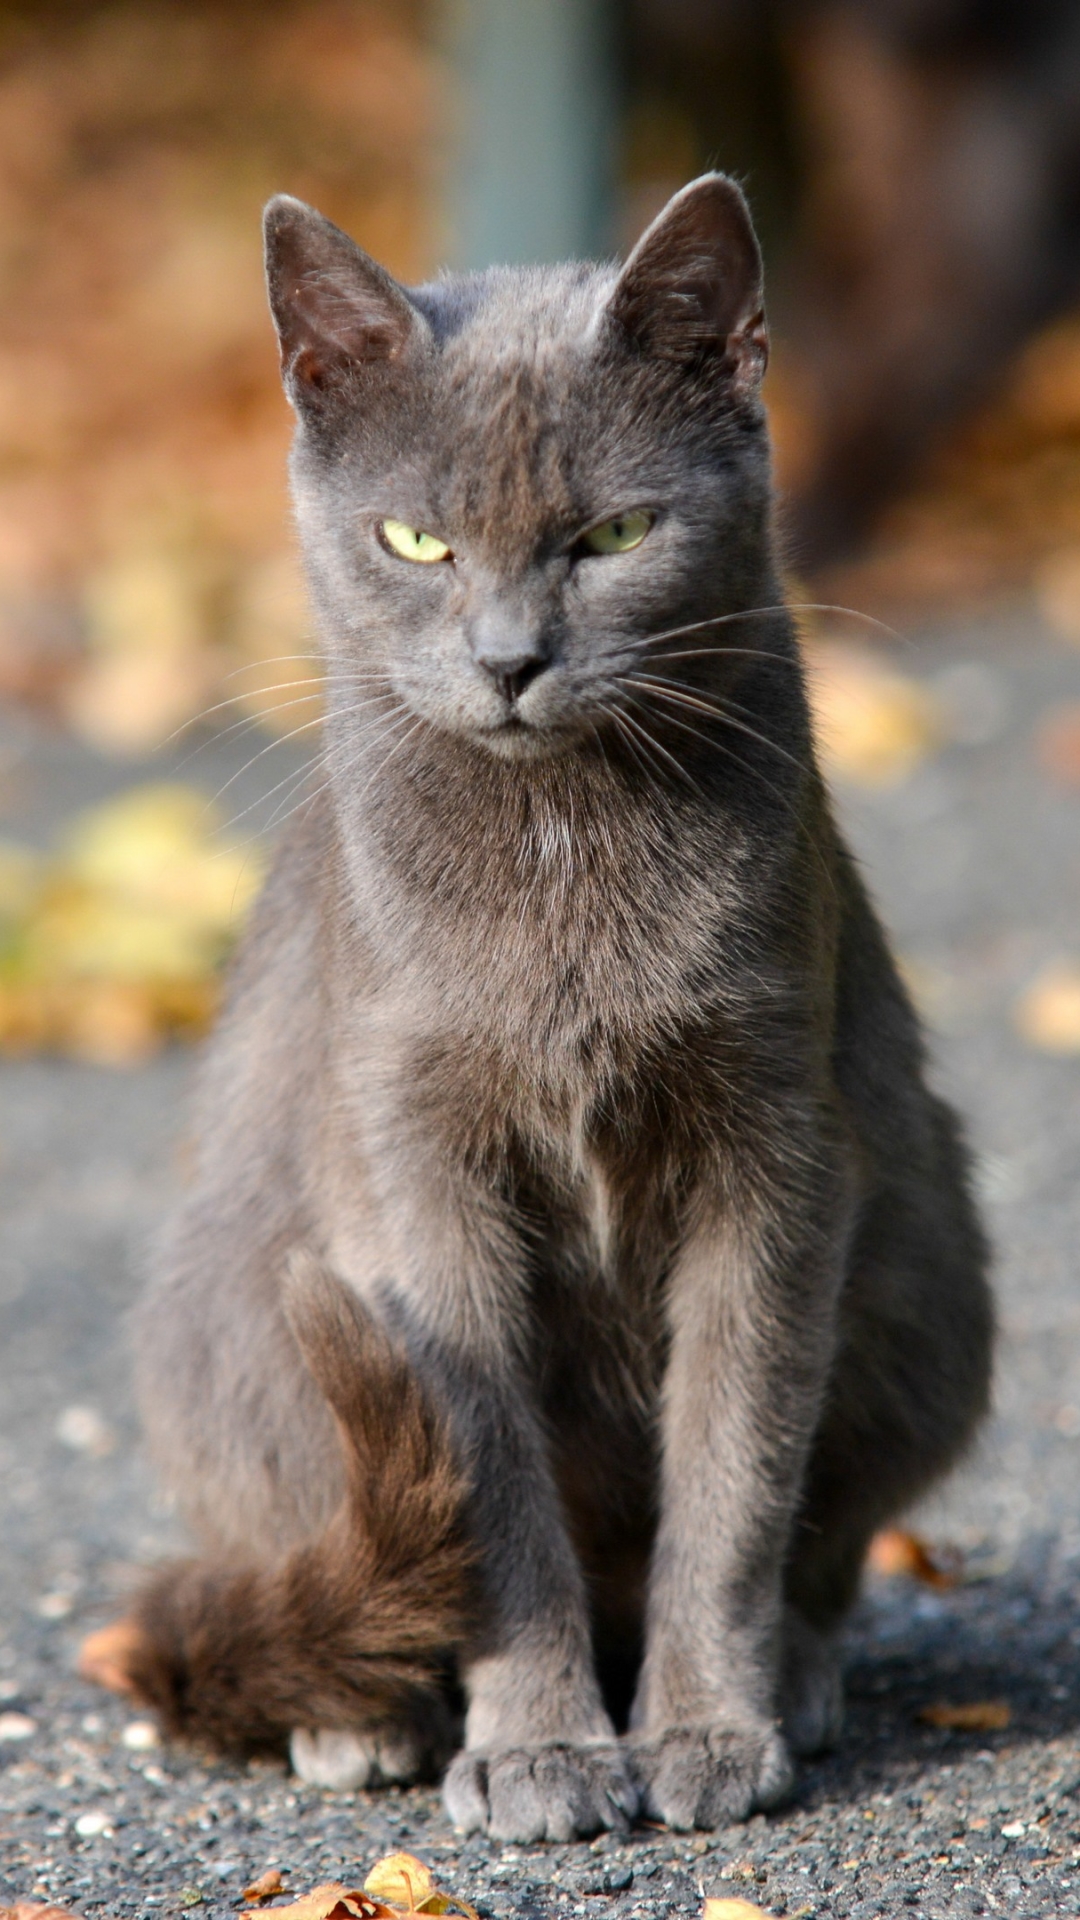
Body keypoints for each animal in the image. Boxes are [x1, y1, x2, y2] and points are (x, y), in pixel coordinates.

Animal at [119, 180, 991, 1843]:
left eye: (617, 534)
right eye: (416, 539)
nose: (510, 660)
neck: (561, 846)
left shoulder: (776, 1152)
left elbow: (737, 1465)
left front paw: (706, 1731)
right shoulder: (417, 1174)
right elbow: (491, 1487)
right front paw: (541, 1751)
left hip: (929, 1270)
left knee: (832, 1534)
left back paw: (798, 1676)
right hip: (230, 1332)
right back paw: (365, 1714)